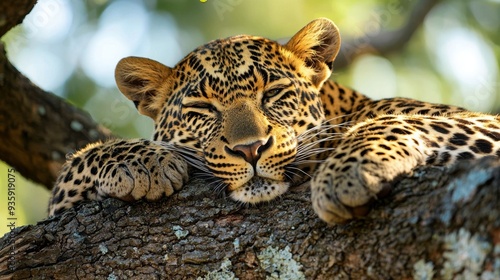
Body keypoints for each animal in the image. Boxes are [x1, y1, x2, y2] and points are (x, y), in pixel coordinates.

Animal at [47, 18, 500, 223]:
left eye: (273, 94)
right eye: (203, 110)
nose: (250, 149)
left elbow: (383, 122)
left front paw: (349, 172)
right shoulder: (61, 205)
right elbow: (76, 163)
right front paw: (144, 162)